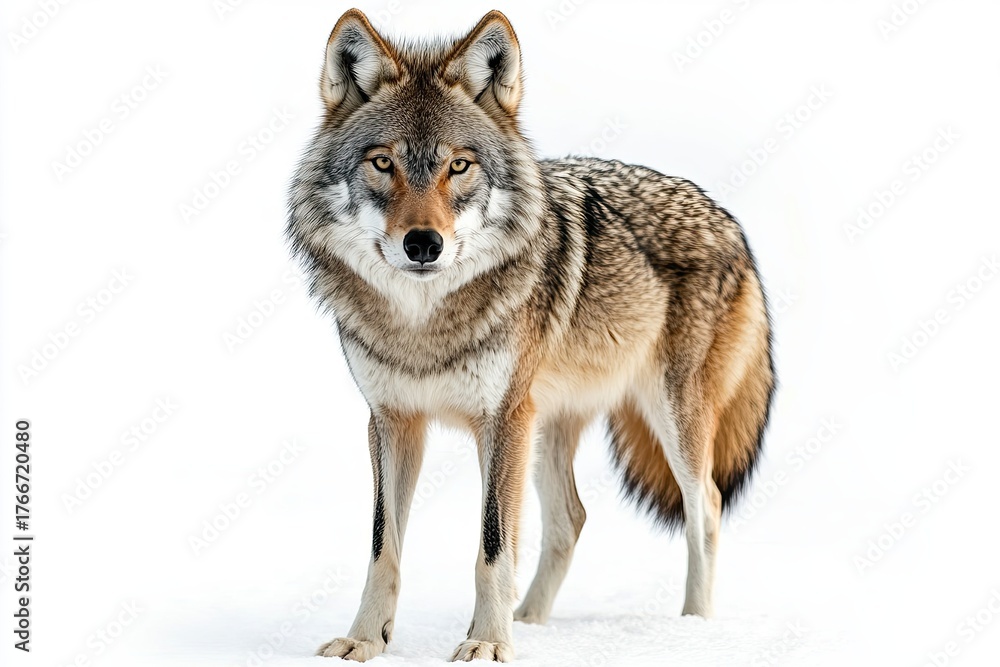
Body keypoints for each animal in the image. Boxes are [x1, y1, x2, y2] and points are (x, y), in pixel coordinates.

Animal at [287, 8, 775, 662]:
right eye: (383, 163)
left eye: (459, 165)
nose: (423, 244)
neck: (424, 325)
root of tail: (732, 222)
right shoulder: (392, 420)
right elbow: (382, 545)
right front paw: (365, 640)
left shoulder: (501, 419)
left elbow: (492, 546)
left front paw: (489, 643)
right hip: (545, 429)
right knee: (571, 519)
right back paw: (533, 622)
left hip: (669, 419)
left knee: (709, 510)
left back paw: (692, 628)